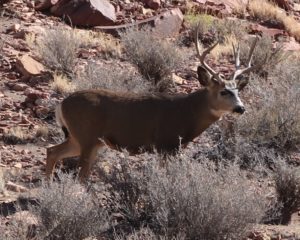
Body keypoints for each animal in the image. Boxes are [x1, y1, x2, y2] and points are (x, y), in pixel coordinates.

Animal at [46, 27, 262, 182]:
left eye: (238, 91)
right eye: (223, 91)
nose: (241, 108)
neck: (187, 112)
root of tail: (61, 105)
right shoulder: (165, 144)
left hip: (82, 138)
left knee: (52, 151)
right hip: (87, 137)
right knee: (80, 175)